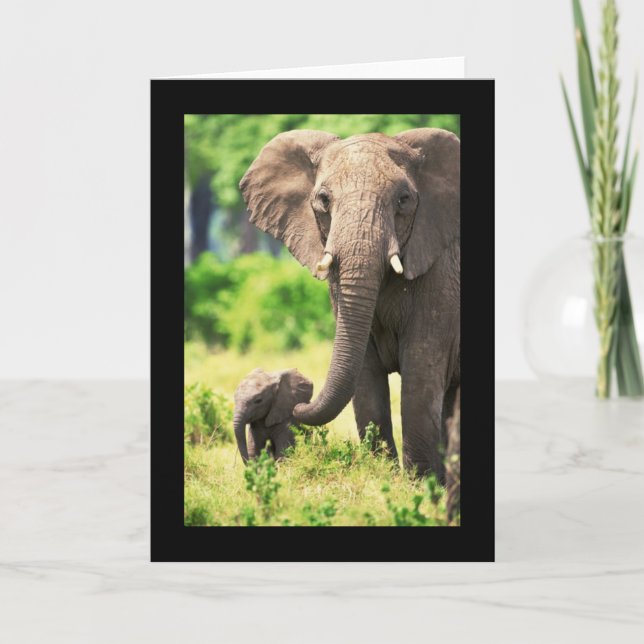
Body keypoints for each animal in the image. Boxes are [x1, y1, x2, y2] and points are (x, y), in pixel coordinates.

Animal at [240, 128, 460, 479]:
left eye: (404, 199)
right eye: (324, 200)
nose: (297, 406)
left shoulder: (441, 274)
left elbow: (419, 379)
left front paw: (418, 486)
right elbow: (366, 382)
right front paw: (384, 475)